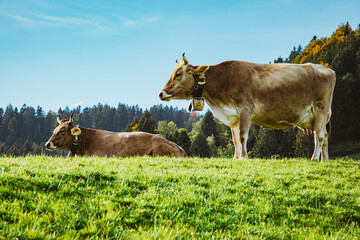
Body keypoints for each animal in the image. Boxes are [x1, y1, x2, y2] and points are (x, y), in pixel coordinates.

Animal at [159, 53, 336, 160]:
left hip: (321, 110)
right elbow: (235, 139)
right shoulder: (233, 117)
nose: (161, 93)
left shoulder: (246, 110)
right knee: (325, 137)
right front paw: (236, 158)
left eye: (178, 74)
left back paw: (314, 158)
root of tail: (326, 68)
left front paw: (244, 157)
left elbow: (243, 136)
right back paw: (324, 160)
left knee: (319, 137)